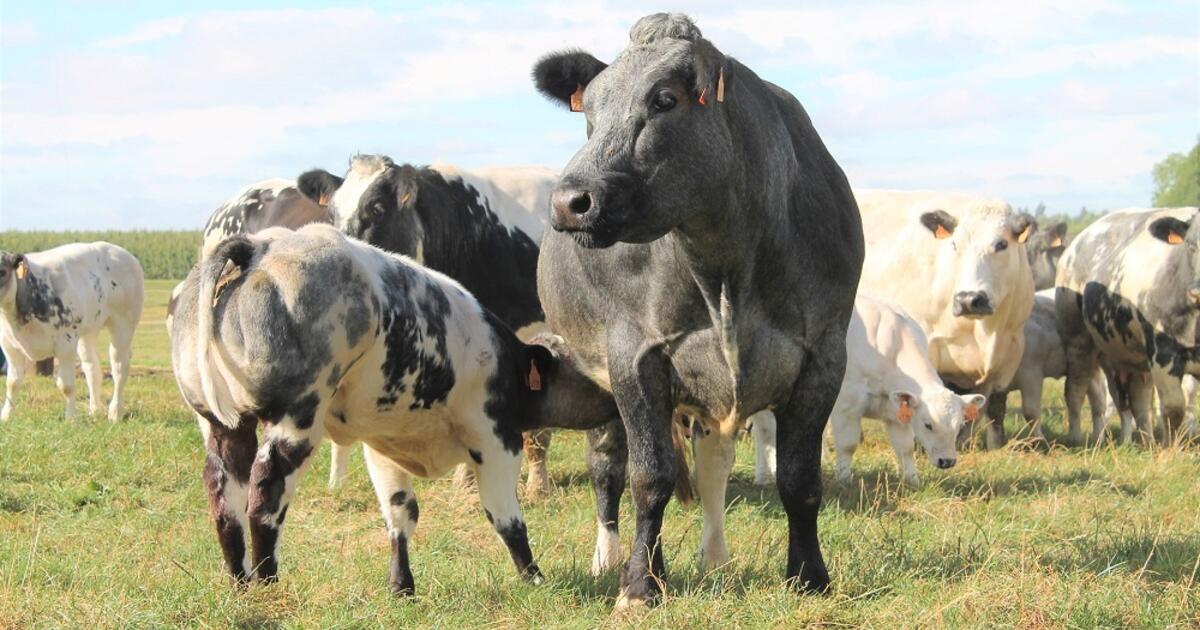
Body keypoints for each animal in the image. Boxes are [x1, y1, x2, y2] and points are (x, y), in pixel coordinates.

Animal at [0, 243, 143, 422]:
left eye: (2, 271)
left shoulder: (65, 342)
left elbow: (66, 385)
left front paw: (71, 418)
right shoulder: (8, 345)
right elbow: (12, 382)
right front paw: (6, 415)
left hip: (123, 324)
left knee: (119, 368)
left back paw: (115, 413)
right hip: (88, 331)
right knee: (91, 368)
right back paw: (94, 410)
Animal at [168, 224, 615, 595]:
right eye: (581, 365)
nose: (614, 398)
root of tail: (259, 246)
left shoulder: (381, 444)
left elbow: (400, 513)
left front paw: (402, 586)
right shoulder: (496, 439)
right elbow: (505, 516)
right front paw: (534, 577)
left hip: (222, 426)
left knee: (224, 496)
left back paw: (241, 582)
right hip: (297, 418)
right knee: (265, 493)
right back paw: (267, 582)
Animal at [531, 13, 864, 606]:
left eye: (664, 99)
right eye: (589, 111)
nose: (569, 202)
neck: (726, 265)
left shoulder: (824, 355)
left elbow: (800, 480)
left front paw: (809, 576)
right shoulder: (634, 354)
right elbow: (649, 478)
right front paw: (639, 587)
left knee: (706, 470)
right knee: (611, 467)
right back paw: (615, 559)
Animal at [855, 190, 1036, 450]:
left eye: (1002, 244)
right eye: (954, 245)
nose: (969, 299)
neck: (983, 331)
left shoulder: (1010, 352)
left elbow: (993, 407)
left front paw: (994, 446)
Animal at [1056, 207, 1200, 445]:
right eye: (1190, 245)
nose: (1196, 291)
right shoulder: (1163, 354)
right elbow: (1173, 408)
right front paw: (1170, 449)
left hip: (1128, 355)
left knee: (1137, 399)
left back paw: (1147, 442)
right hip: (1078, 339)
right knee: (1076, 390)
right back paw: (1077, 439)